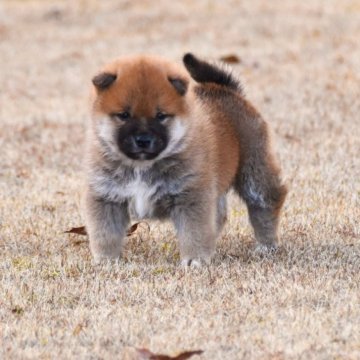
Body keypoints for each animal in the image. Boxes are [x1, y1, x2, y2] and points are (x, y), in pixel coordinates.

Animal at [85, 52, 286, 264]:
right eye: (124, 115)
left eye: (160, 116)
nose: (143, 140)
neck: (142, 166)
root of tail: (227, 89)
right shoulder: (106, 198)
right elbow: (106, 234)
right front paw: (106, 260)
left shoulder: (191, 197)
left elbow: (193, 232)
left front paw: (194, 260)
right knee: (220, 215)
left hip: (254, 172)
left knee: (265, 205)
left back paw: (266, 245)